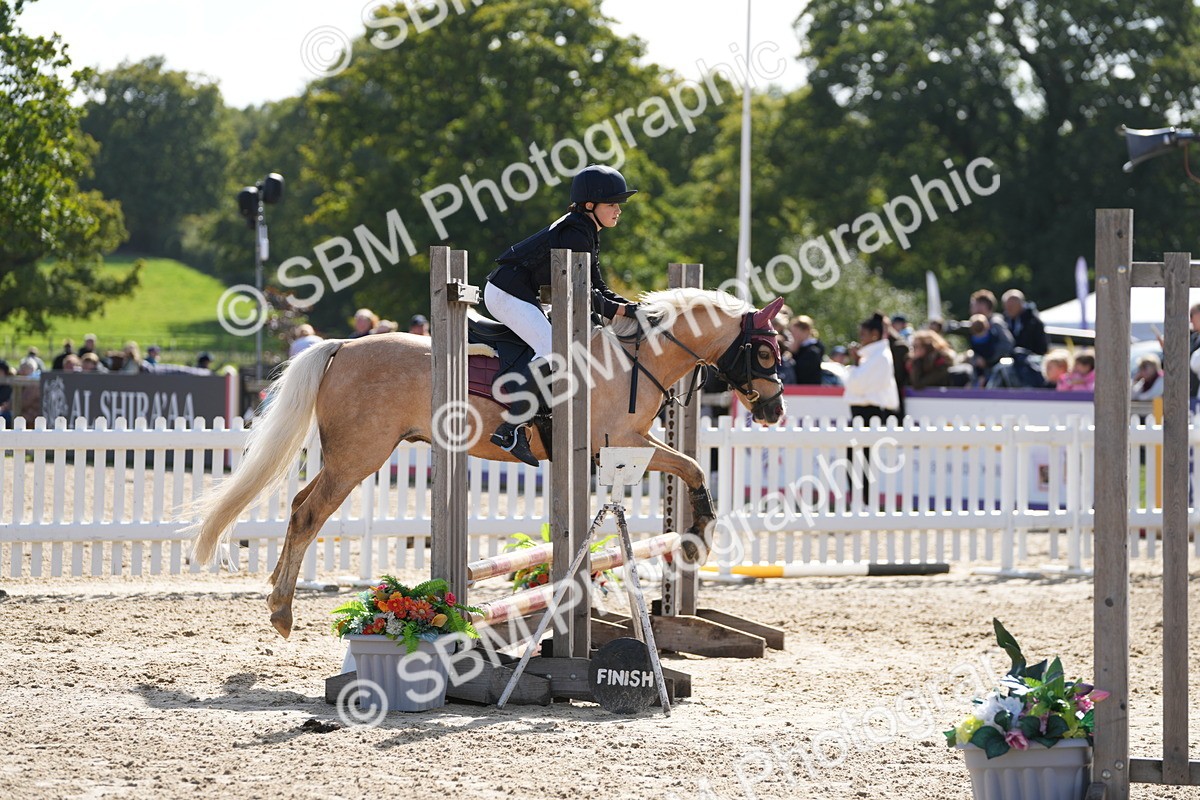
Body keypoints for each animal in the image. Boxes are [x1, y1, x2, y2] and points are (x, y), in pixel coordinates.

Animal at [188, 288, 787, 638]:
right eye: (764, 350)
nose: (775, 408)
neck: (634, 358)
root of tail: (344, 346)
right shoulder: (621, 440)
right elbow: (691, 466)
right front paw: (700, 530)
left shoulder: (623, 446)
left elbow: (687, 467)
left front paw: (693, 531)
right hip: (358, 457)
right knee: (309, 515)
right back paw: (282, 613)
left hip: (351, 456)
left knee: (297, 505)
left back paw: (275, 593)